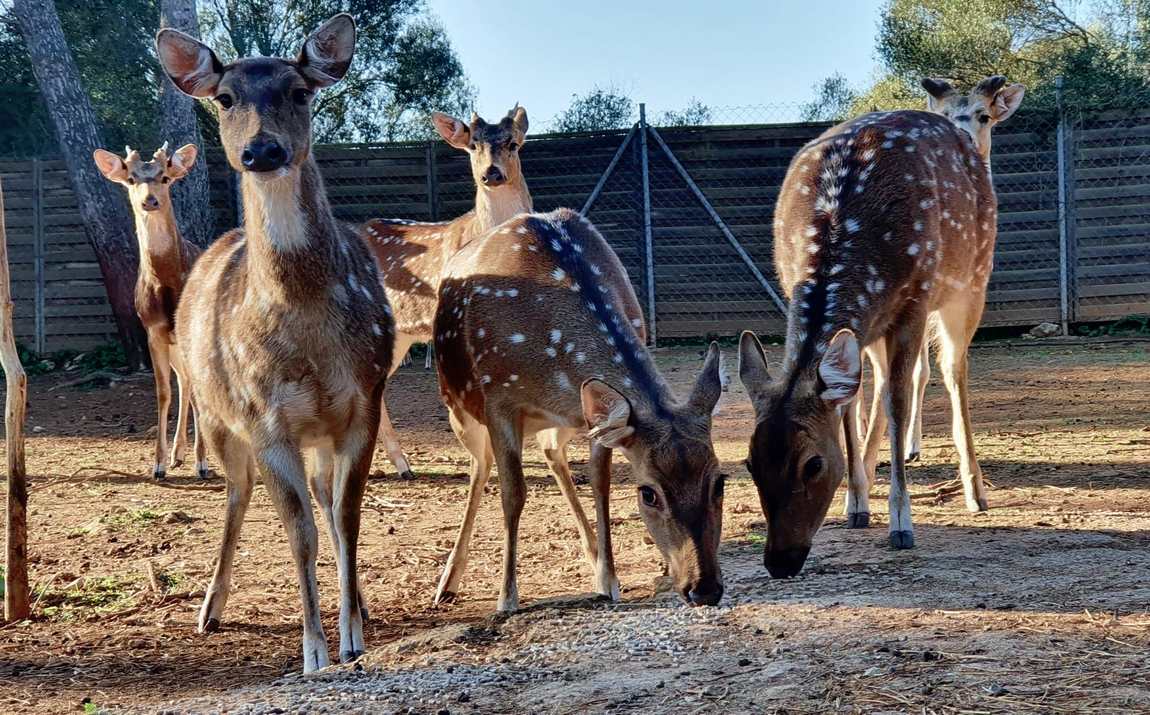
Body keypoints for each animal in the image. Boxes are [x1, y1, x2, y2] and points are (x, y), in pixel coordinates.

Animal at [93, 141, 210, 482]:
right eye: (131, 179)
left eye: (165, 177)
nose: (150, 200)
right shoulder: (153, 331)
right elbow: (162, 392)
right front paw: (158, 465)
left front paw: (203, 463)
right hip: (174, 346)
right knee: (184, 383)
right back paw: (177, 455)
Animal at [155, 14, 393, 675]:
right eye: (225, 97)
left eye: (300, 90)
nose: (262, 149)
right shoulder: (263, 417)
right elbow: (298, 531)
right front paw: (313, 651)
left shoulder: (363, 402)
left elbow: (345, 518)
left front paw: (352, 635)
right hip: (219, 419)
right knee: (237, 496)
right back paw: (208, 609)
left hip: (318, 433)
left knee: (323, 501)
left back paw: (362, 607)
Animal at [432, 205, 726, 611]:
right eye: (648, 493)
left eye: (719, 482)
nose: (705, 588)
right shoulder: (499, 398)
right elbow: (513, 493)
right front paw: (507, 597)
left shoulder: (596, 418)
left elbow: (600, 484)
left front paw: (608, 579)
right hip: (459, 410)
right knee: (481, 466)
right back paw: (447, 582)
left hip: (563, 420)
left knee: (552, 454)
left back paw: (592, 554)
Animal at [740, 75, 1030, 579]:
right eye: (749, 463)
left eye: (813, 464)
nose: (780, 560)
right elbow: (848, 404)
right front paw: (857, 504)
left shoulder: (914, 299)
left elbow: (897, 400)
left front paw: (901, 523)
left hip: (971, 281)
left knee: (953, 370)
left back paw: (975, 492)